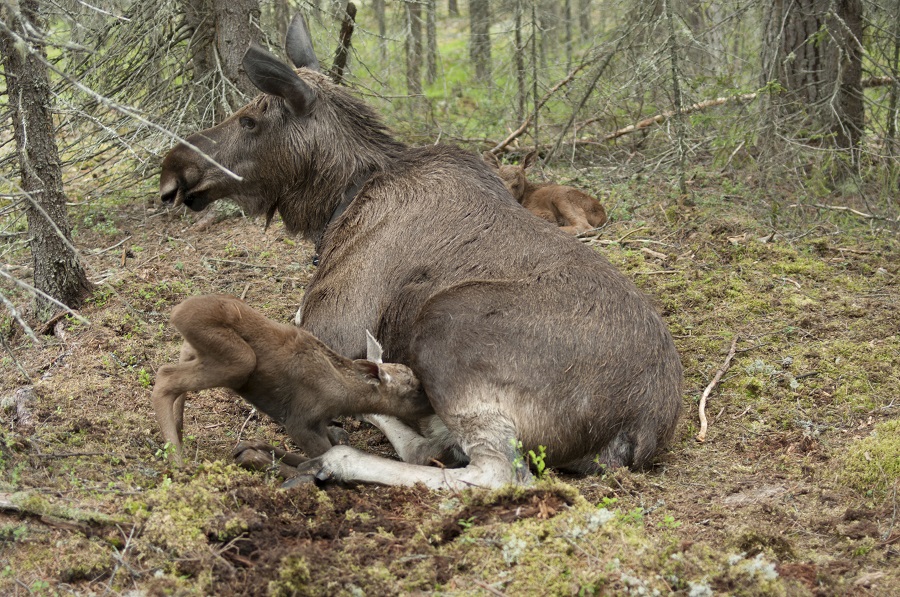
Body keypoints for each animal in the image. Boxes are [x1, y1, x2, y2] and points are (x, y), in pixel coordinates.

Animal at [149, 296, 436, 468]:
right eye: (415, 388)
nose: (434, 407)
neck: (347, 397)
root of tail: (176, 312)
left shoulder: (319, 423)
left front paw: (254, 448)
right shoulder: (301, 421)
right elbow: (324, 456)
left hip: (200, 349)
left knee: (178, 361)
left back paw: (179, 433)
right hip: (240, 361)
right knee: (165, 375)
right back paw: (177, 459)